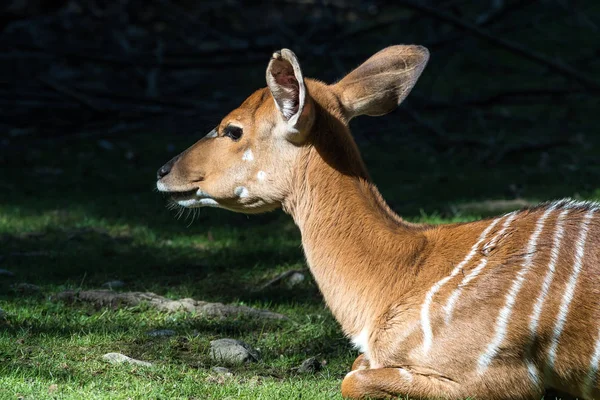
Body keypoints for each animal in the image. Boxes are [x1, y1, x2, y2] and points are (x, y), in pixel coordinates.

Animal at [156, 45, 600, 398]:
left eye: (233, 130)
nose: (163, 171)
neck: (402, 275)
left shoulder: (497, 378)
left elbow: (353, 378)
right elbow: (356, 366)